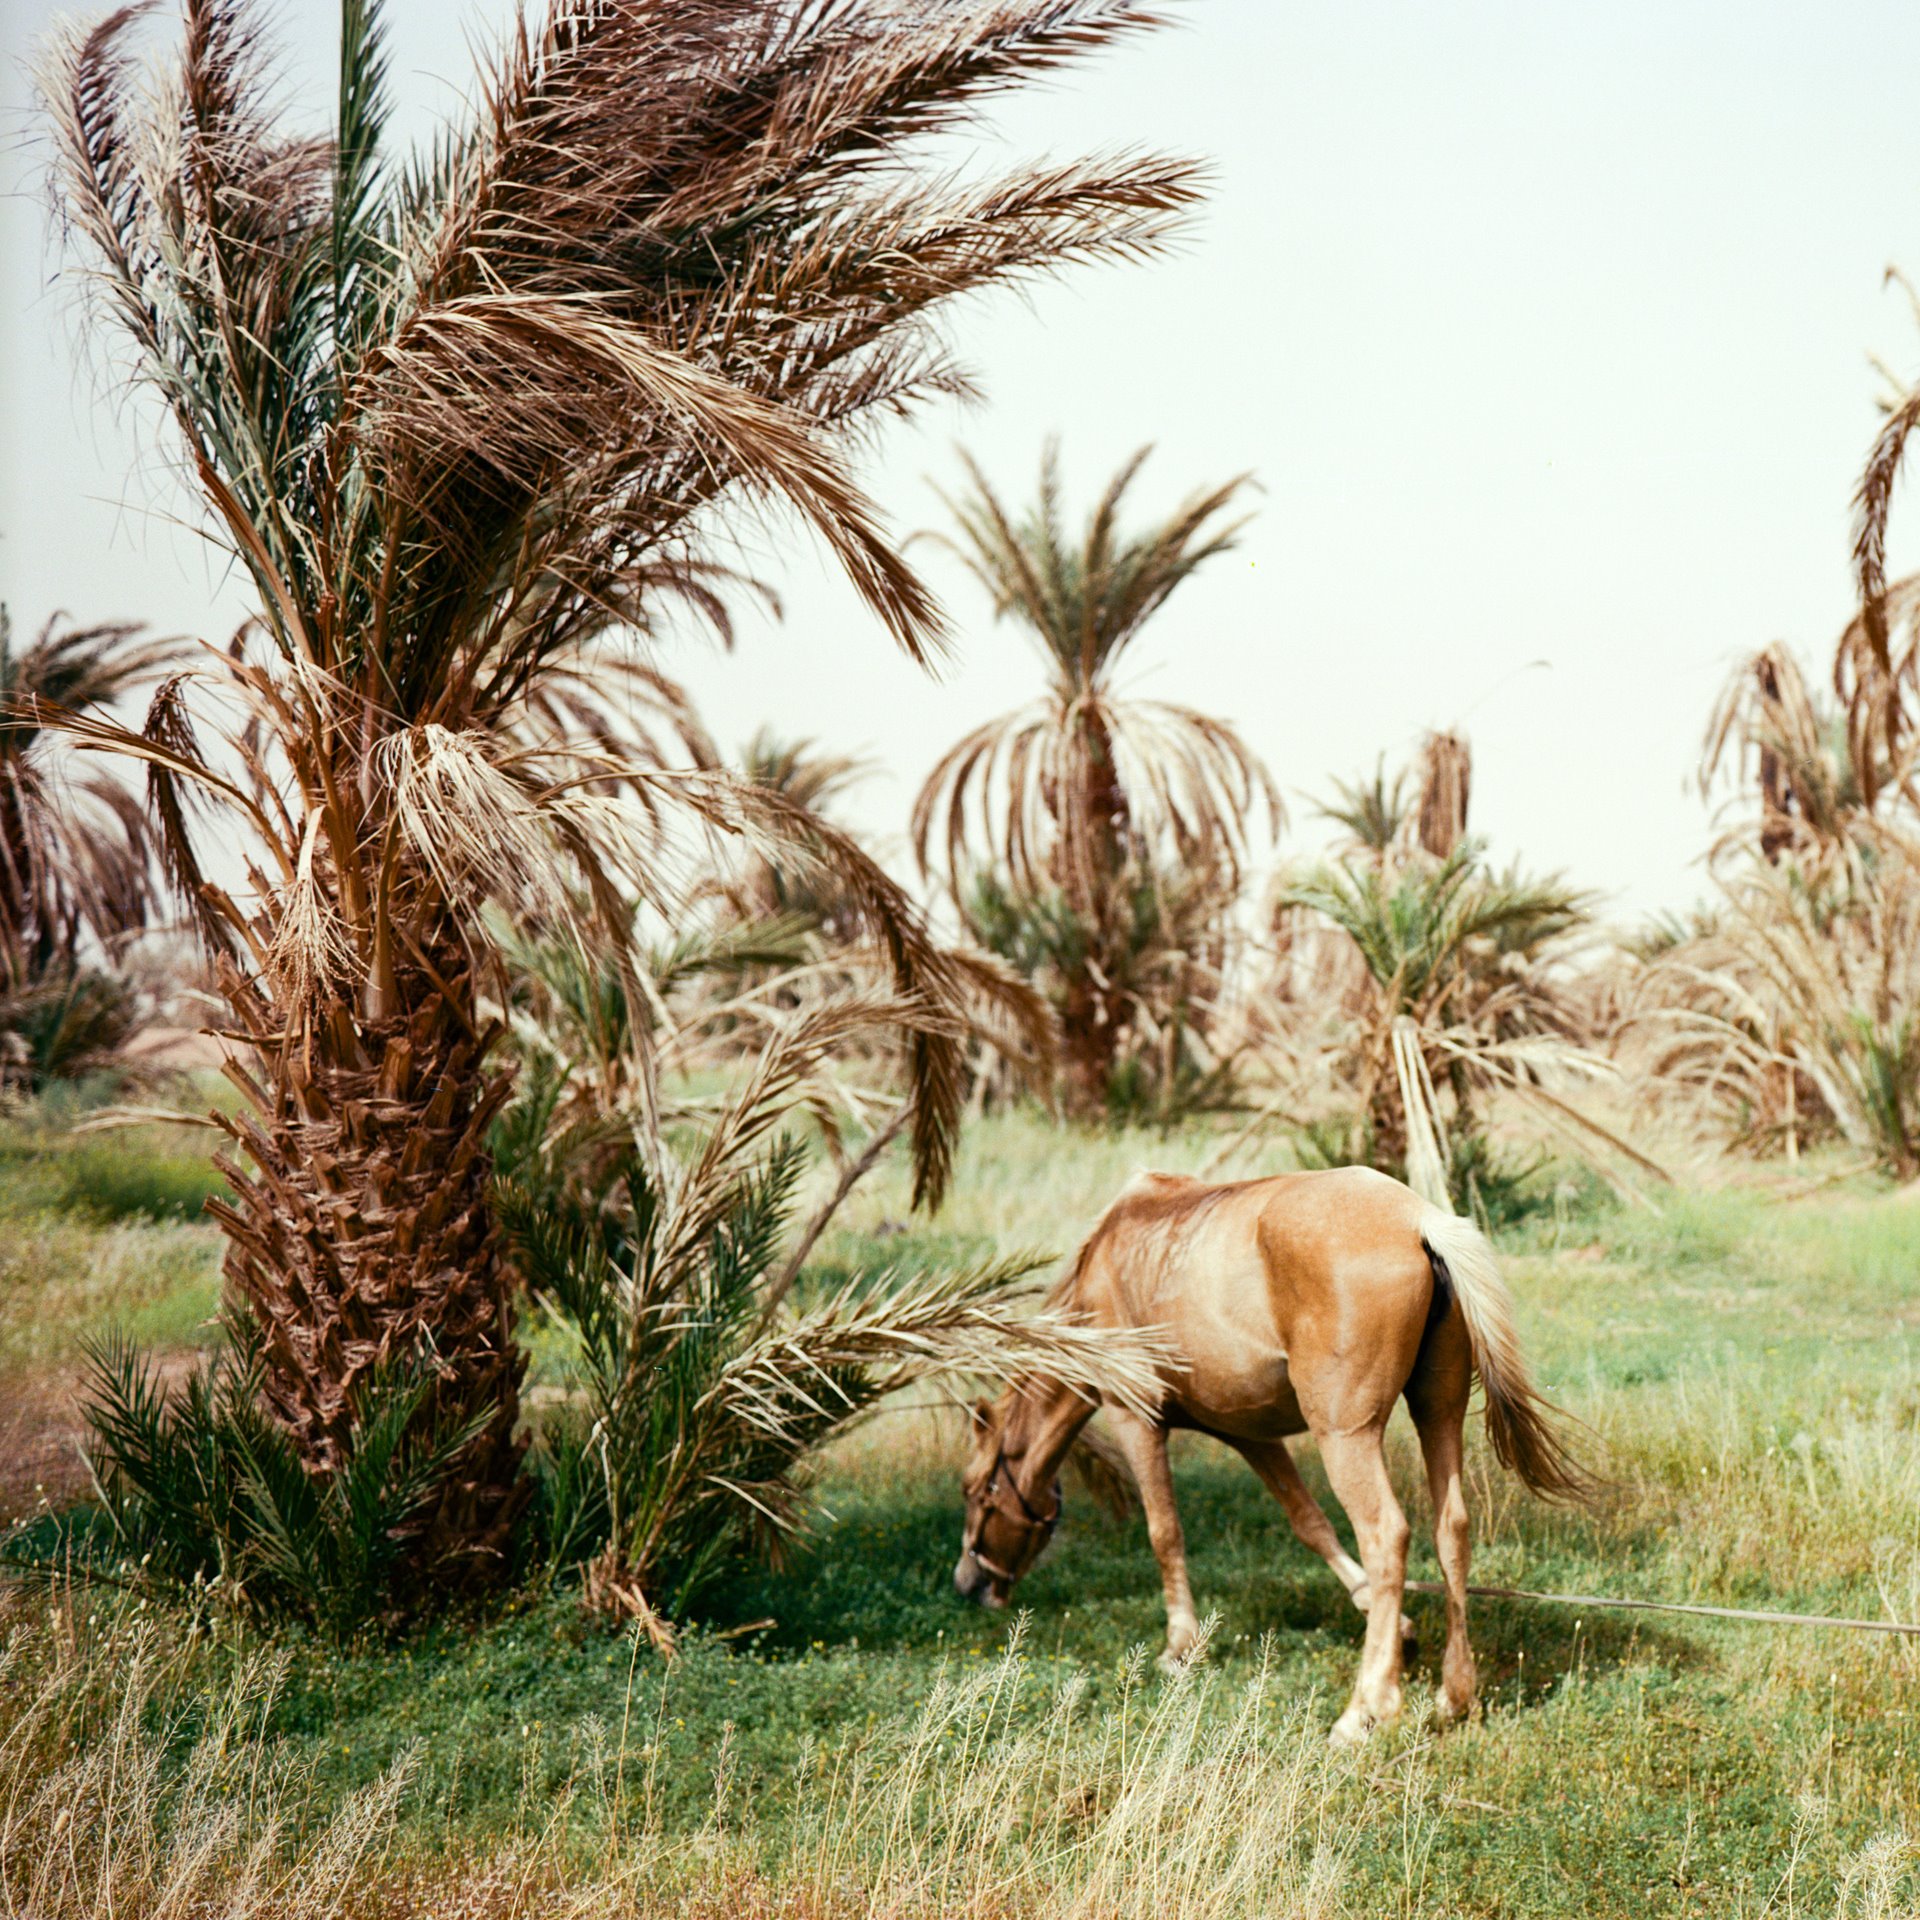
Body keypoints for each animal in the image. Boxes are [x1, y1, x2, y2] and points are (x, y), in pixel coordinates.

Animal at [952, 1159, 1597, 1751]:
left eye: (975, 1488)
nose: (967, 1585)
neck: (1112, 1259)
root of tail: (1418, 1220)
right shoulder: (1251, 1435)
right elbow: (1309, 1524)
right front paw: (1395, 1626)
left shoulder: (1137, 1419)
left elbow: (1165, 1531)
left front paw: (1179, 1646)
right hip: (1437, 1415)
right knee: (1451, 1531)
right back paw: (1455, 1694)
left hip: (1346, 1437)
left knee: (1386, 1536)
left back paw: (1364, 1710)